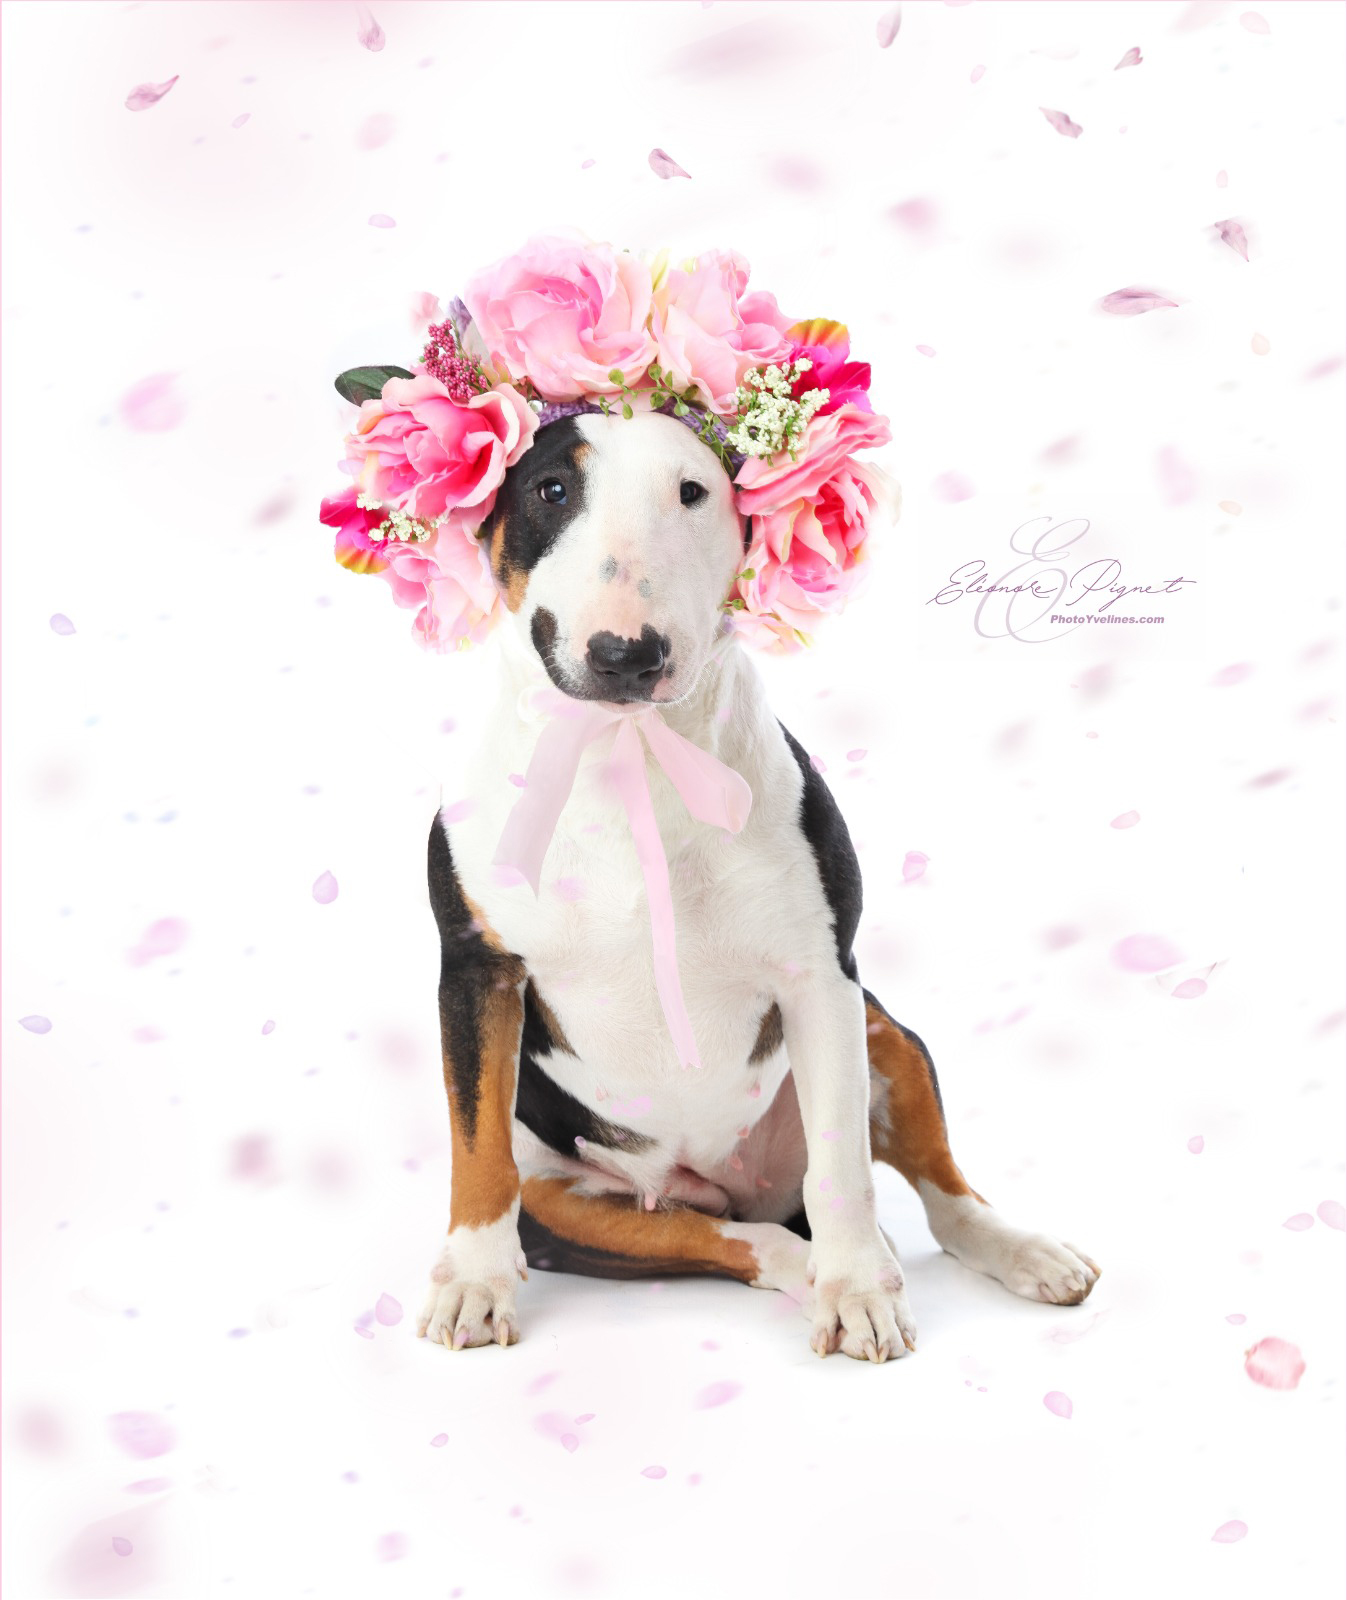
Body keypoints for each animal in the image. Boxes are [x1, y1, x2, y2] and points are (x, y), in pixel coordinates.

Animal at [415, 408, 1100, 1362]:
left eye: (693, 490)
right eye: (551, 488)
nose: (627, 655)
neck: (627, 757)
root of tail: (731, 1181)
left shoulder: (819, 978)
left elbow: (845, 1169)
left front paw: (859, 1295)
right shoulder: (476, 971)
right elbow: (476, 1143)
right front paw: (473, 1284)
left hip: (883, 1034)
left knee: (931, 1195)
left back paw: (1000, 1253)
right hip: (568, 1203)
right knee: (724, 1237)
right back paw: (808, 1263)